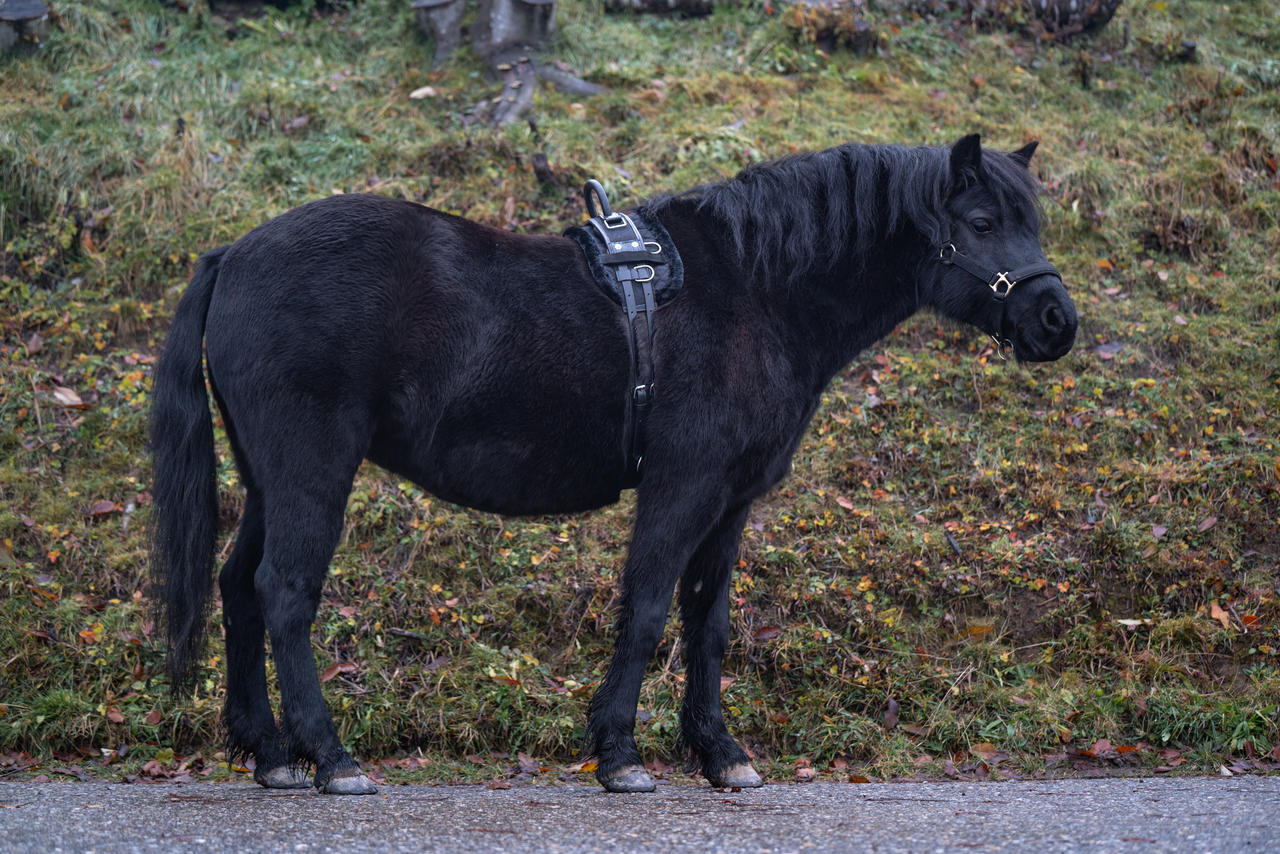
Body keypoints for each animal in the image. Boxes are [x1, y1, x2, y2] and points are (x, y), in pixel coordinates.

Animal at [147, 133, 1070, 793]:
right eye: (982, 224)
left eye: (1030, 221)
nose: (1057, 321)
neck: (757, 290)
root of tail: (234, 253)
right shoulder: (681, 484)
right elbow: (651, 609)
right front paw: (620, 753)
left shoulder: (732, 501)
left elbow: (709, 621)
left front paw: (718, 752)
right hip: (312, 468)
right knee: (285, 594)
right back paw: (330, 756)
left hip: (266, 476)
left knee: (238, 587)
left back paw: (270, 752)